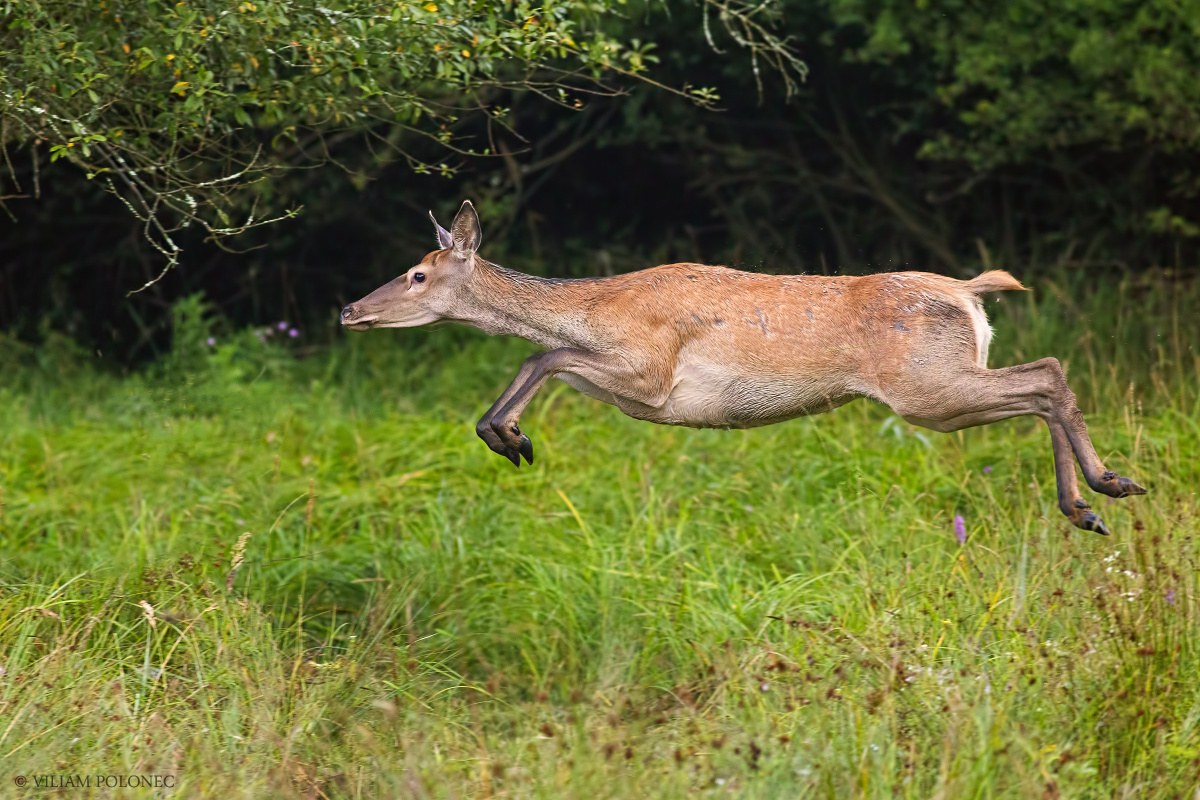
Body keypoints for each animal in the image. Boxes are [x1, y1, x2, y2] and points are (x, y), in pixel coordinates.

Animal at [343, 203, 1147, 534]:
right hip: (941, 382)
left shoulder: (652, 374)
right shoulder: (635, 389)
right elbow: (544, 355)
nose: (350, 309)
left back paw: (1104, 487)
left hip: (925, 388)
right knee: (1042, 378)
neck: (597, 305)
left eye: (417, 274)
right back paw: (1090, 506)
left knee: (1045, 374)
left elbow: (546, 351)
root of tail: (970, 293)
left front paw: (510, 437)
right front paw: (507, 435)